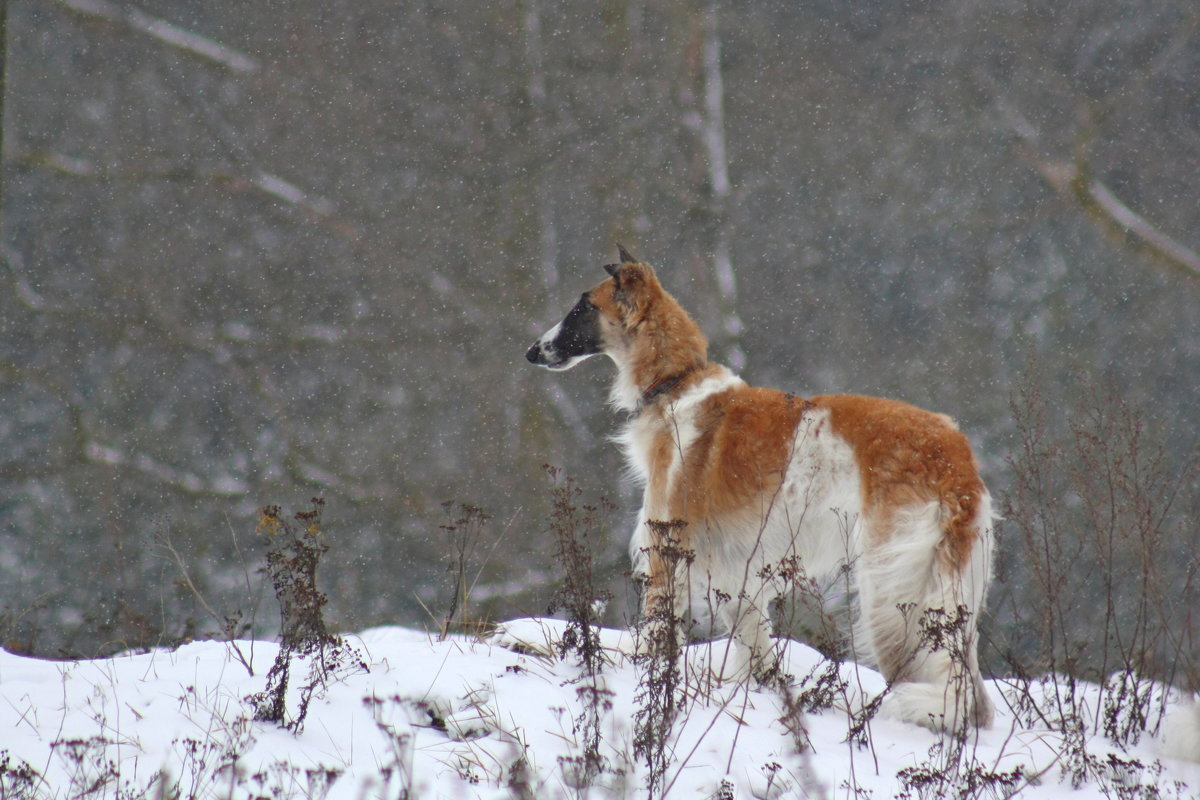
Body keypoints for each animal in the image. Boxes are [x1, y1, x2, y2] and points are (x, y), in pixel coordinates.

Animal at [528, 247, 993, 729]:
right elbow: (759, 659)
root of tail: (957, 457)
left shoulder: (665, 556)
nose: (531, 352)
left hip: (891, 594)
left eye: (584, 306)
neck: (676, 386)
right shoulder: (743, 582)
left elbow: (650, 643)